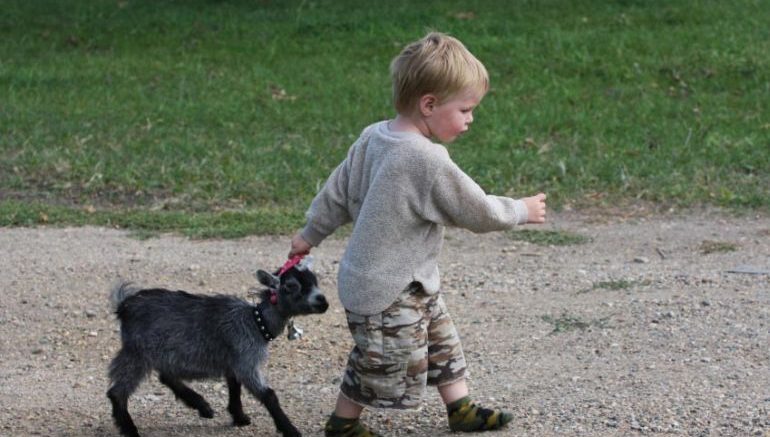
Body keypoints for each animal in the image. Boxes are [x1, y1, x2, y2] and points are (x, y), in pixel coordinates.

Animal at [106, 257, 327, 437]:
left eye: (315, 280)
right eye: (291, 285)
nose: (323, 302)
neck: (256, 322)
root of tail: (124, 306)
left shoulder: (234, 360)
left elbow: (234, 387)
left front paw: (239, 417)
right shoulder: (246, 361)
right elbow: (268, 395)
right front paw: (290, 430)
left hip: (159, 351)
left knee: (166, 376)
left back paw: (202, 406)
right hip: (137, 352)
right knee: (117, 392)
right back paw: (130, 429)